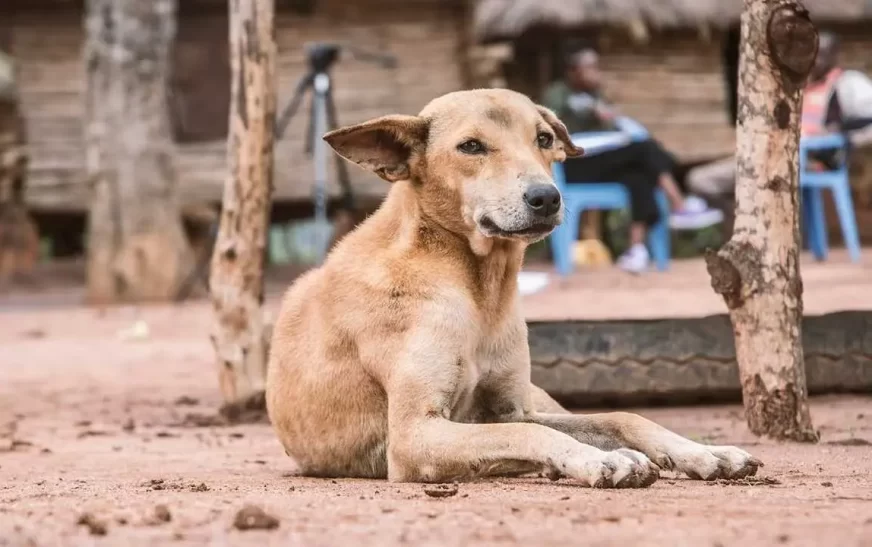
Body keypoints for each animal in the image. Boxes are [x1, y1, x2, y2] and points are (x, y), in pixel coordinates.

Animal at [268, 89, 764, 488]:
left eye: (543, 139)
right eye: (471, 146)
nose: (546, 197)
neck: (478, 288)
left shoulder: (511, 406)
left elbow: (620, 416)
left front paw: (700, 453)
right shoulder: (413, 435)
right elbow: (525, 434)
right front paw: (596, 461)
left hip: (537, 394)